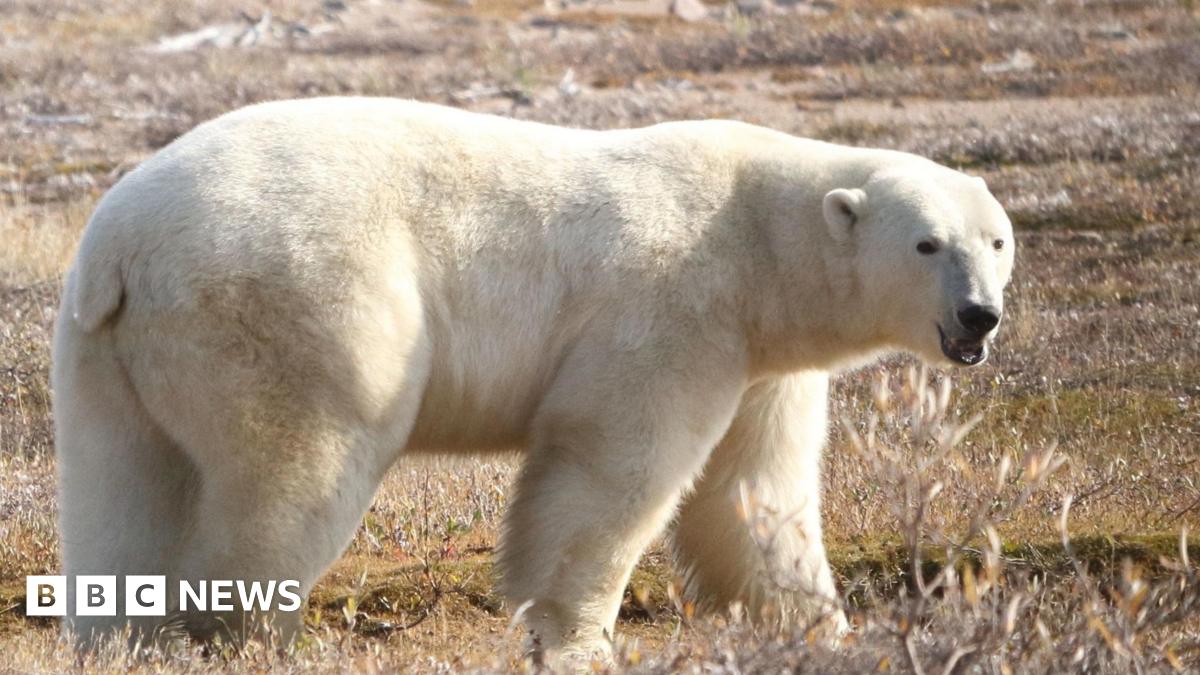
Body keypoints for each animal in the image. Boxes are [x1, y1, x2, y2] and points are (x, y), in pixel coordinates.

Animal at [52, 97, 1014, 662]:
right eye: (927, 242)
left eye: (997, 239)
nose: (979, 316)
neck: (756, 238)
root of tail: (123, 245)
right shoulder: (673, 308)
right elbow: (613, 468)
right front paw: (578, 639)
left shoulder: (762, 359)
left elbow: (753, 492)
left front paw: (824, 628)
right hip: (295, 302)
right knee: (294, 470)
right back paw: (247, 634)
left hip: (108, 352)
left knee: (123, 488)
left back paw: (120, 634)